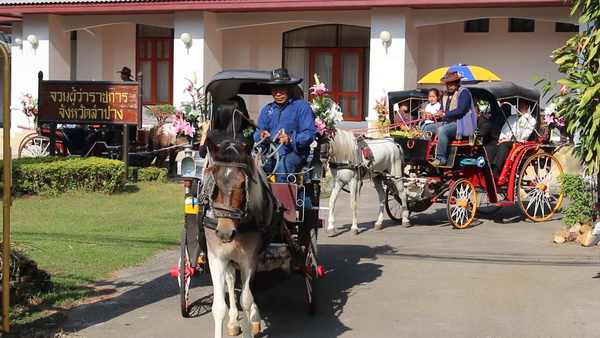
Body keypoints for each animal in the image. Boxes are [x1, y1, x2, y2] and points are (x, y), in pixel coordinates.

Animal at [203, 138, 282, 338]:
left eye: (241, 183)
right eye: (215, 182)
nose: (224, 232)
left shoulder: (249, 259)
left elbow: (246, 299)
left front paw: (251, 322)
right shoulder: (216, 258)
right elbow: (218, 307)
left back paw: (254, 319)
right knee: (231, 279)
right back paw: (233, 321)